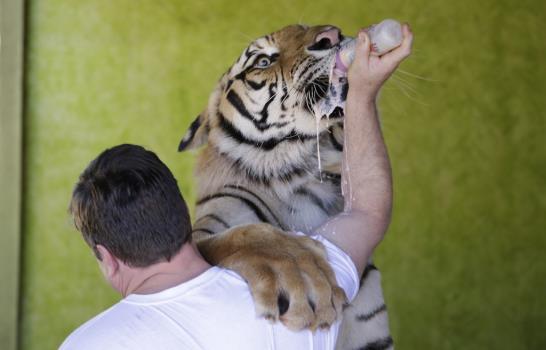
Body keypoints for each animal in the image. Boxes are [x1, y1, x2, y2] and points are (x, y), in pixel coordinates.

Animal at [177, 24, 392, 350]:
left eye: (304, 27)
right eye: (263, 61)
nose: (332, 35)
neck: (300, 172)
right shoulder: (202, 235)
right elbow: (245, 236)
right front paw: (301, 278)